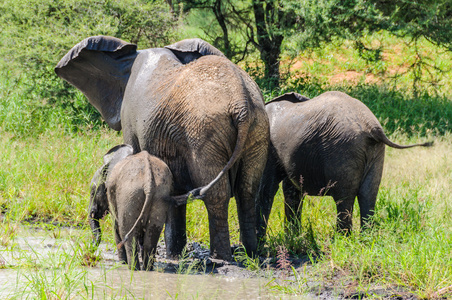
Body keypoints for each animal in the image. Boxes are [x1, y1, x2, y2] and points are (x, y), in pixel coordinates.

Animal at [55, 35, 268, 260]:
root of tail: (241, 102)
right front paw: (176, 255)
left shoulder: (131, 120)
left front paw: (173, 255)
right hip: (258, 128)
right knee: (247, 189)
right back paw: (250, 254)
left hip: (204, 132)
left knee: (217, 193)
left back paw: (220, 257)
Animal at [256, 91, 432, 239]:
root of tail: (372, 126)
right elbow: (291, 191)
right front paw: (293, 238)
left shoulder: (269, 146)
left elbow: (267, 188)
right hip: (373, 152)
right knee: (368, 194)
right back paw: (365, 239)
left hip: (342, 149)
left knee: (344, 199)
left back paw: (342, 240)